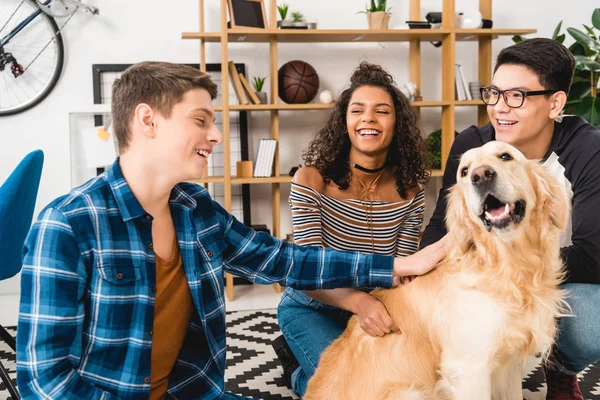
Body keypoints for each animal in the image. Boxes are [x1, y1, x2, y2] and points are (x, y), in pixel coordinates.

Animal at [304, 142, 572, 398]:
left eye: (505, 156)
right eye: (464, 171)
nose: (481, 175)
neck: (508, 266)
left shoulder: (509, 364)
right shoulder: (469, 369)